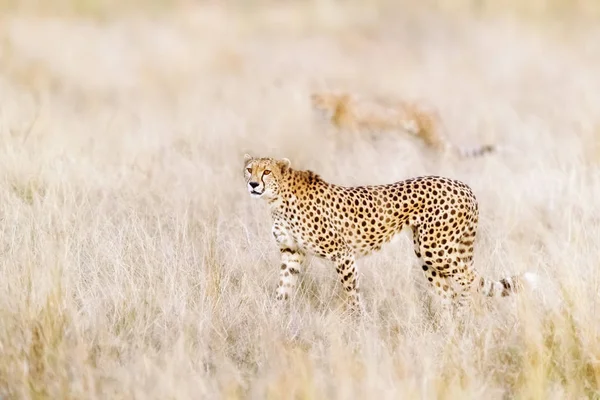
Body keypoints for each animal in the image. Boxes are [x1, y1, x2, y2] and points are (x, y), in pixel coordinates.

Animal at [244, 155, 540, 314]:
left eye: (266, 171)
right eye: (249, 169)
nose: (253, 184)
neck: (277, 199)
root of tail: (462, 185)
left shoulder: (343, 254)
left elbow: (352, 293)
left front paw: (359, 324)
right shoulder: (292, 253)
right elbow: (283, 289)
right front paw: (275, 319)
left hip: (436, 249)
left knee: (468, 279)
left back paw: (462, 320)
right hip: (427, 252)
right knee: (448, 292)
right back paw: (446, 332)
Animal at [312, 91, 494, 159]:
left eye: (324, 103)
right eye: (317, 102)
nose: (321, 111)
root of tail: (434, 109)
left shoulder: (355, 136)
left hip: (433, 140)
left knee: (447, 152)